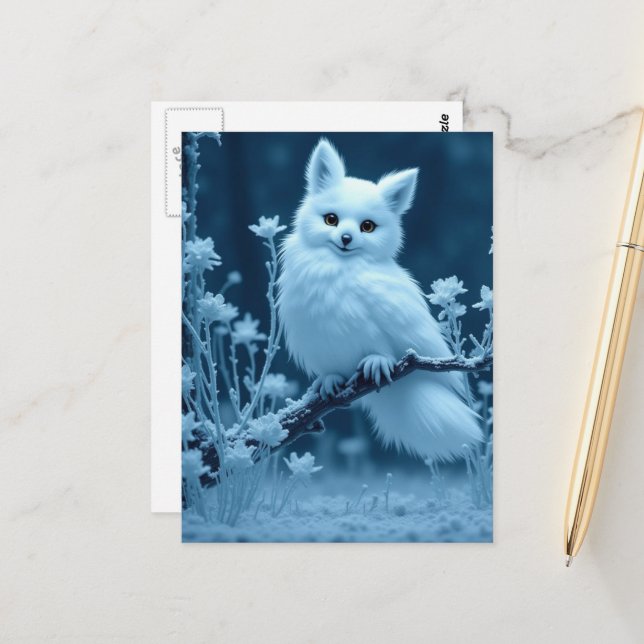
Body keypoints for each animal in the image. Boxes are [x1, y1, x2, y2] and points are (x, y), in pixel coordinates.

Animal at [277, 138, 482, 461]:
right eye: (331, 220)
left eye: (368, 227)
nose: (346, 238)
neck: (338, 265)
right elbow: (329, 370)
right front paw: (328, 381)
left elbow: (382, 348)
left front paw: (377, 361)